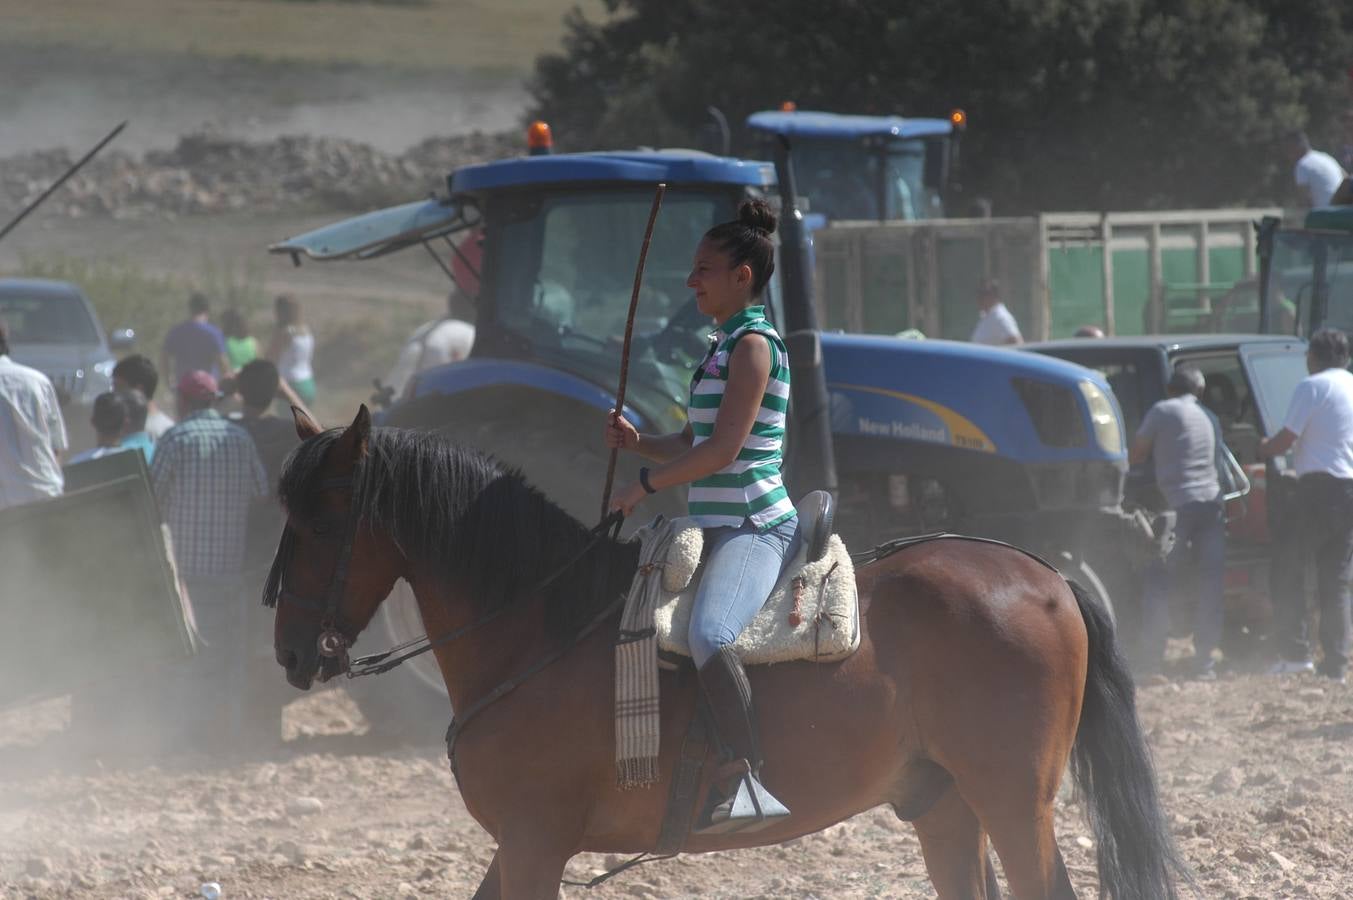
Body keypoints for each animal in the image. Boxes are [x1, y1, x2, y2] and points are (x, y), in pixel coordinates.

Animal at [263, 408, 1185, 898]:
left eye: (321, 522)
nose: (292, 652)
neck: (540, 628)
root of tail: (1041, 571)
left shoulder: (534, 840)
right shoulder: (521, 846)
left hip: (1011, 798)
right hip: (944, 802)